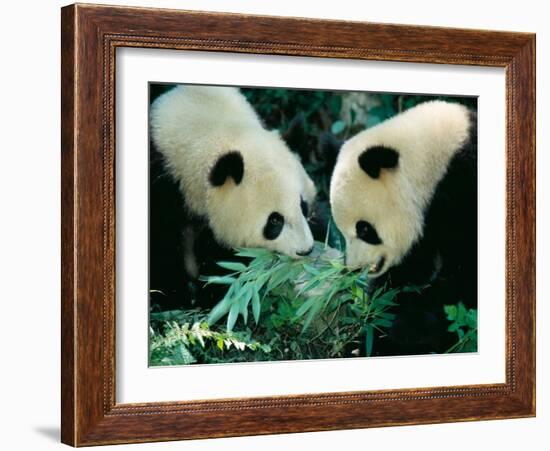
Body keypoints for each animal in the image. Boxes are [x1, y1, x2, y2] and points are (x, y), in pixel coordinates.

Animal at [149, 85, 316, 308]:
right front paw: (179, 297)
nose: (305, 250)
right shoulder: (163, 186)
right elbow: (162, 250)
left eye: (303, 206)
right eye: (274, 221)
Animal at [332, 101, 478, 356]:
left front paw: (404, 334)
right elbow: (406, 272)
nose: (354, 268)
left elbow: (463, 276)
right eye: (341, 231)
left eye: (364, 229)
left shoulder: (462, 192)